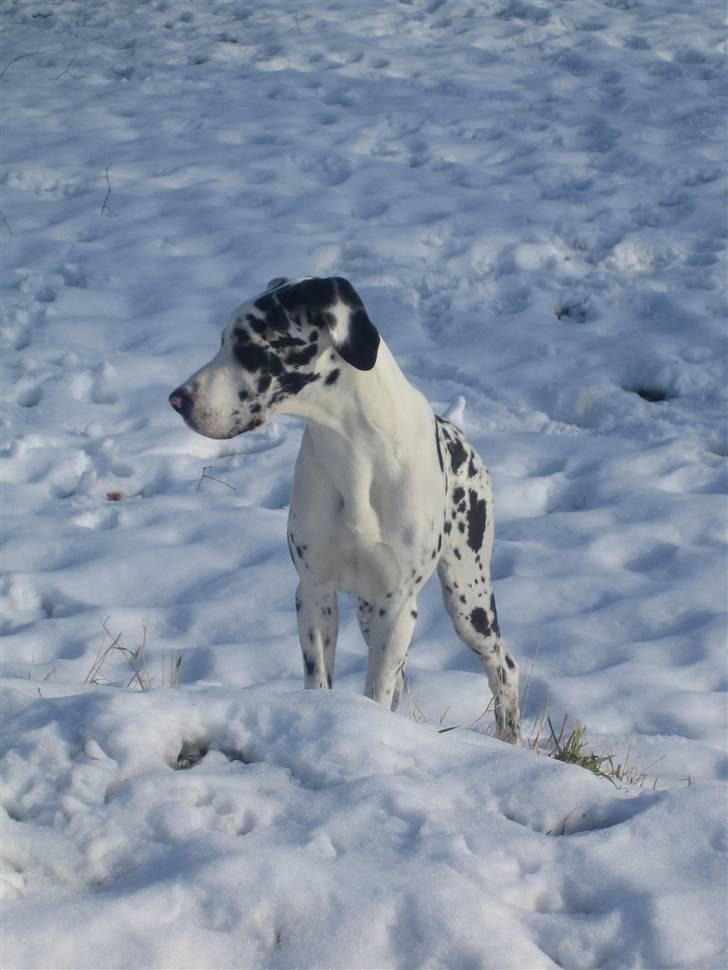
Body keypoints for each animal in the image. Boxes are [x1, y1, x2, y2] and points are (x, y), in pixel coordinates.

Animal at [169, 276, 524, 744]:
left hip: (469, 600)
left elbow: (379, 689)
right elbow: (322, 680)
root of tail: (457, 434)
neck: (354, 450)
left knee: (504, 667)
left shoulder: (398, 605)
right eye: (222, 342)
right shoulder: (314, 591)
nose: (177, 400)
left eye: (247, 349)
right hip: (370, 611)